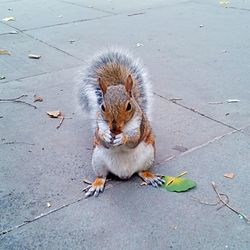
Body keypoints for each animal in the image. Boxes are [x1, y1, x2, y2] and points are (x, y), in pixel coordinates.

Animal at [77, 48, 165, 197]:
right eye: (102, 107)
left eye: (129, 106)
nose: (114, 128)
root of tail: (124, 174)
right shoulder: (99, 126)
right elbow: (100, 137)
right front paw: (106, 136)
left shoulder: (140, 125)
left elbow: (134, 139)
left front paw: (123, 138)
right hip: (97, 161)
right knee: (102, 176)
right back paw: (96, 184)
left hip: (148, 156)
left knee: (141, 171)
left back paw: (150, 177)